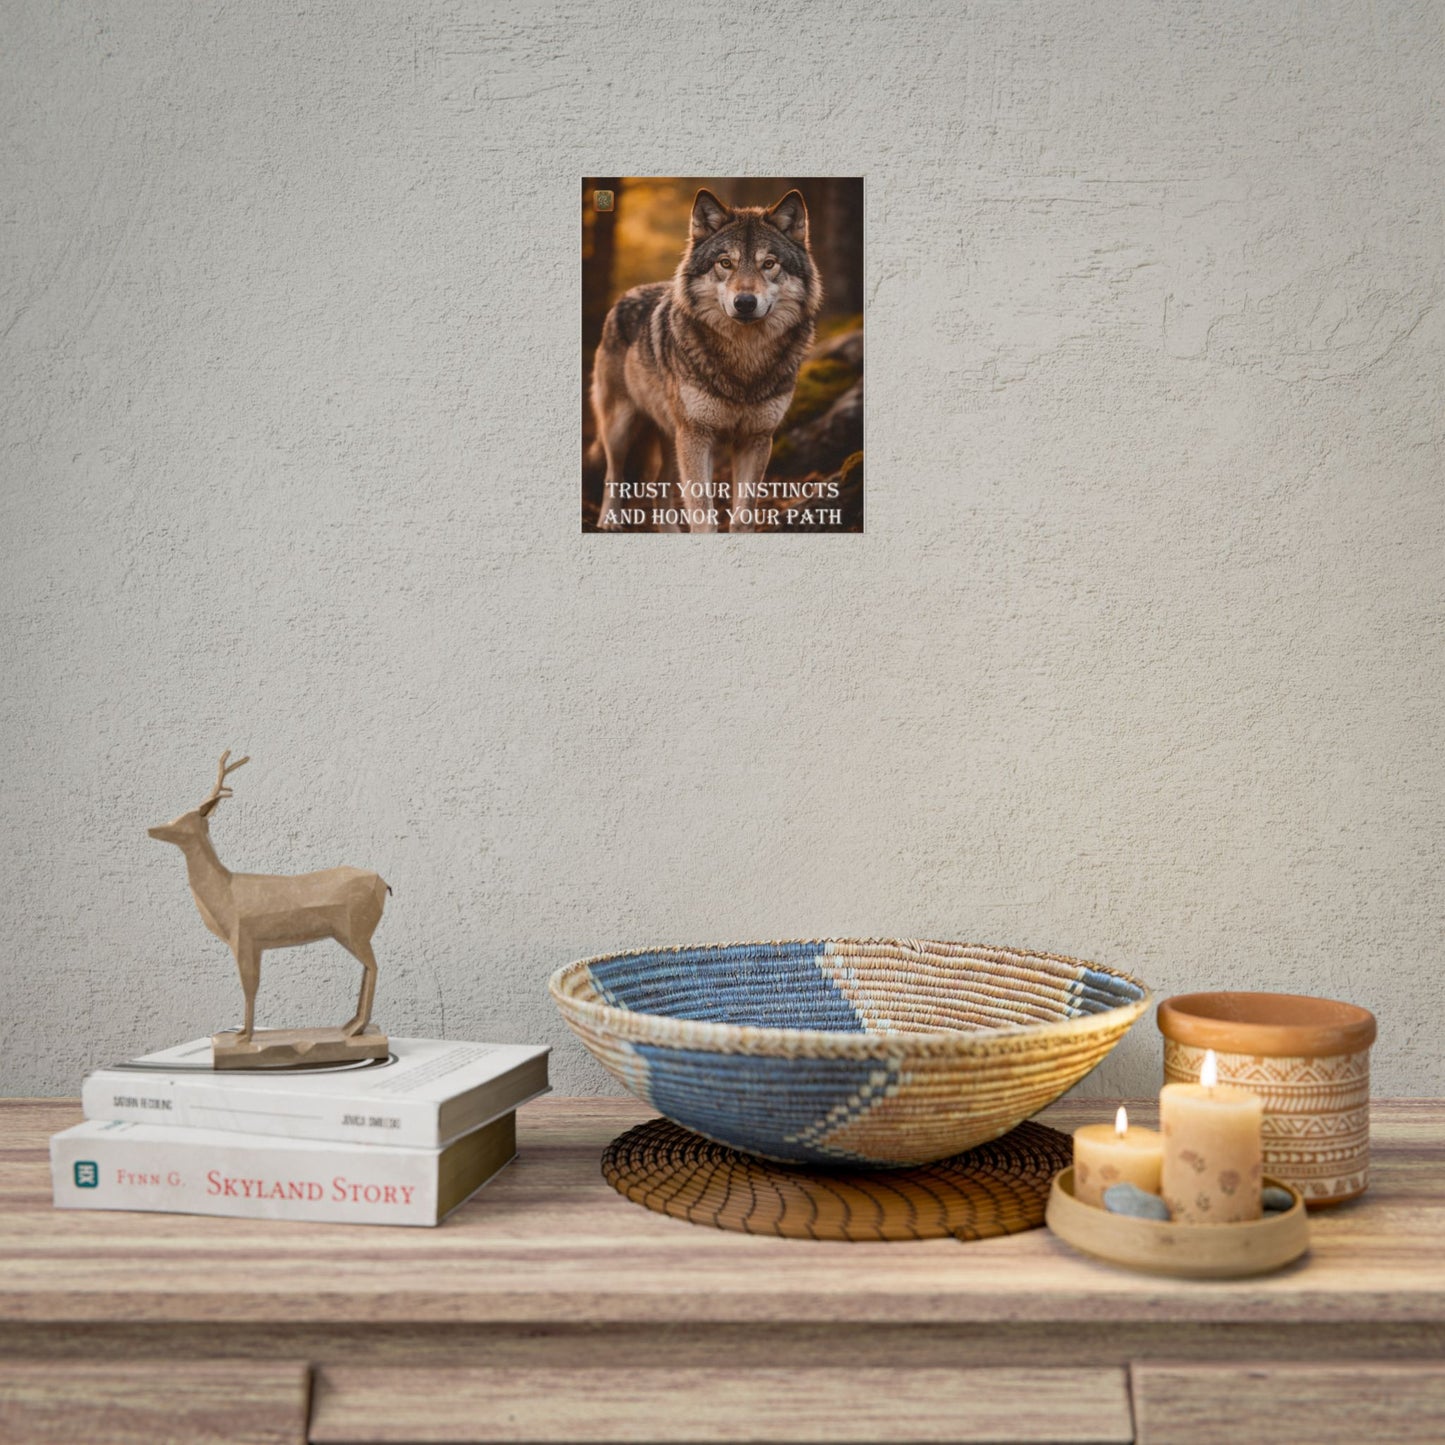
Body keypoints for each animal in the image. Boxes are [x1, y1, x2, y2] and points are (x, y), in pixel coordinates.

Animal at [590, 188, 823, 533]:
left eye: (769, 263)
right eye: (725, 263)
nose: (745, 302)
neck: (744, 360)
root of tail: (624, 297)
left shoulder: (756, 439)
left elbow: (742, 517)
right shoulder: (698, 435)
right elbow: (702, 513)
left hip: (673, 438)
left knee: (659, 486)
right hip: (624, 429)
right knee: (613, 473)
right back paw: (609, 521)